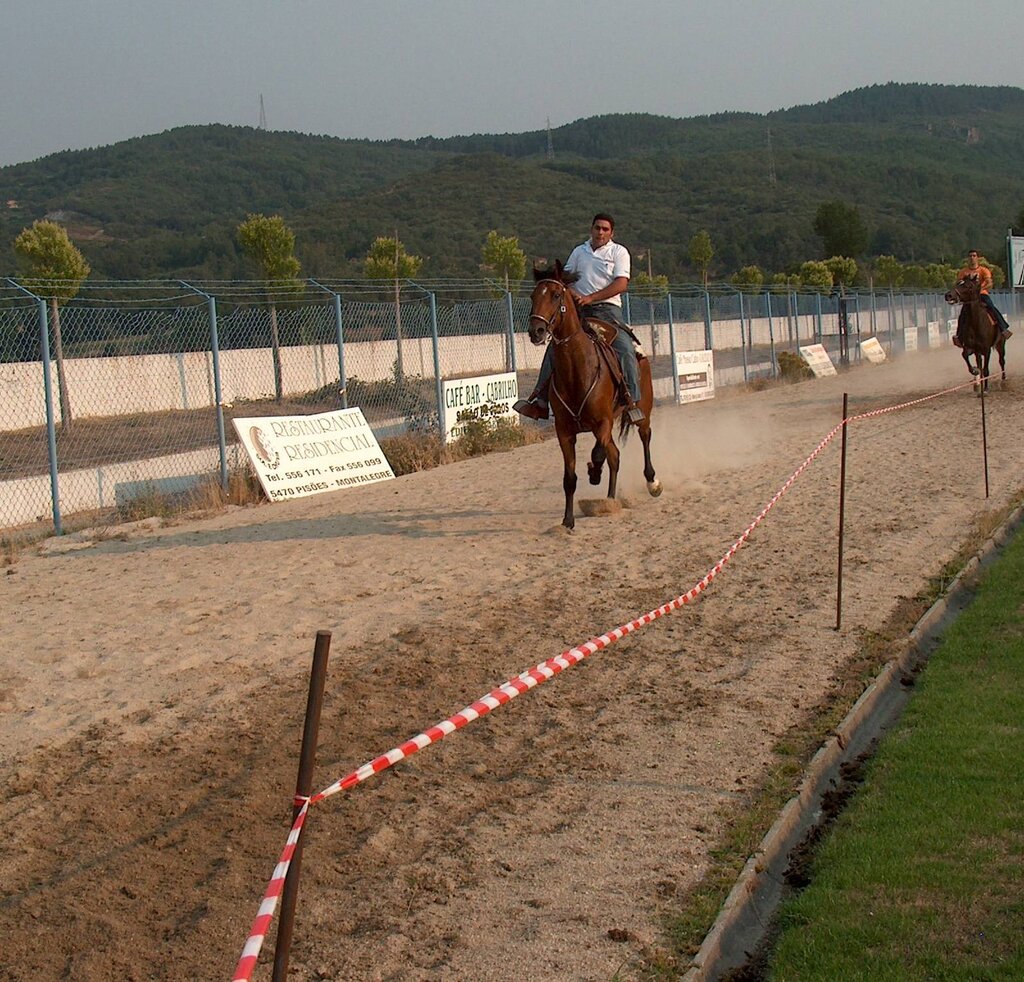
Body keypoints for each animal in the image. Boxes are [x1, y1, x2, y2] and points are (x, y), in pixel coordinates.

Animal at [524, 261, 659, 528]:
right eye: (533, 296)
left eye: (556, 295)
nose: (537, 330)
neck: (578, 371)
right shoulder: (564, 431)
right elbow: (570, 477)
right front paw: (567, 521)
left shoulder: (602, 422)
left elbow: (598, 454)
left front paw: (594, 472)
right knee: (615, 455)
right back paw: (609, 499)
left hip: (643, 410)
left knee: (644, 437)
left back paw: (652, 482)